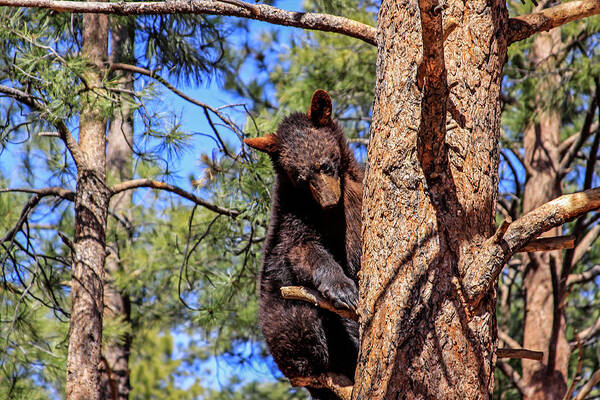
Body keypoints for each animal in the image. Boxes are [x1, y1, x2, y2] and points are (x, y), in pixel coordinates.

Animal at [245, 90, 366, 400]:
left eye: (325, 165)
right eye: (300, 178)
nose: (328, 202)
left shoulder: (353, 195)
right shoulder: (294, 220)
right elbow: (304, 251)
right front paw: (344, 289)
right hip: (286, 322)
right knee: (307, 322)